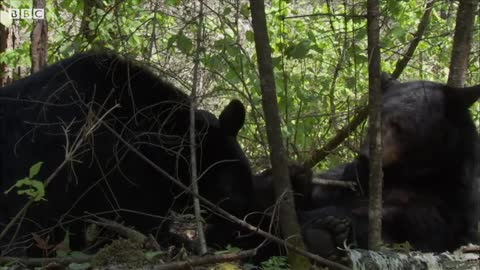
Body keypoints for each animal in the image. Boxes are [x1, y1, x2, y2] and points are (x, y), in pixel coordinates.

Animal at [302, 75, 480, 256]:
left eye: (398, 125)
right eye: (374, 120)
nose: (365, 157)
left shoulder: (453, 201)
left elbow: (425, 231)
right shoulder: (348, 180)